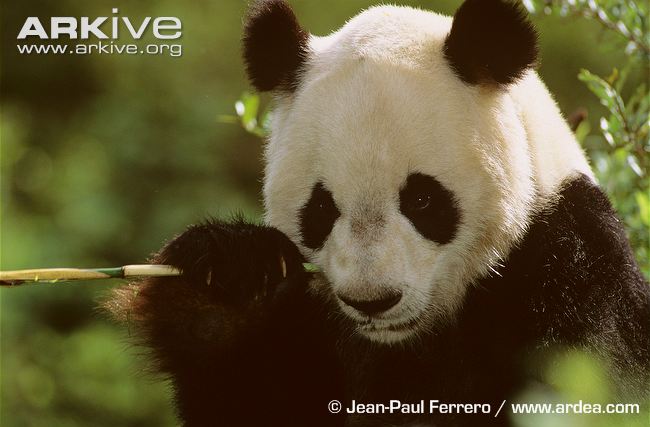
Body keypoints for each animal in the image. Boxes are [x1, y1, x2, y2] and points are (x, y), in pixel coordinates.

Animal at [107, 0, 648, 427]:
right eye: (321, 207)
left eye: (422, 200)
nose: (372, 301)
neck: (408, 339)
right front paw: (228, 278)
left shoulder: (570, 268)